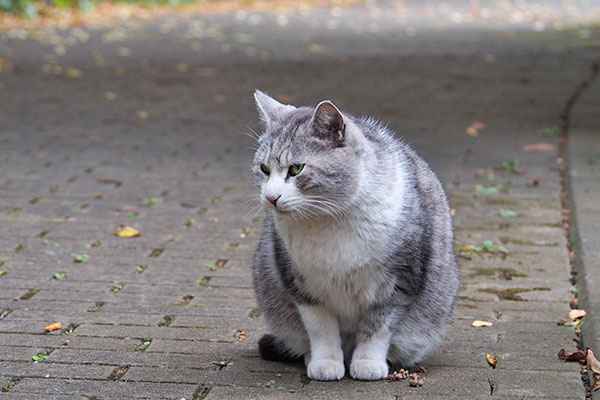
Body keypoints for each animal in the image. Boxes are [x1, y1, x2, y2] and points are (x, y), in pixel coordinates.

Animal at [248, 90, 460, 382]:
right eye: (265, 169)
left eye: (297, 169)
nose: (270, 197)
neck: (328, 221)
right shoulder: (300, 283)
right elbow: (320, 328)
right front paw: (325, 362)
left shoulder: (399, 282)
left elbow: (377, 328)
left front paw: (368, 363)